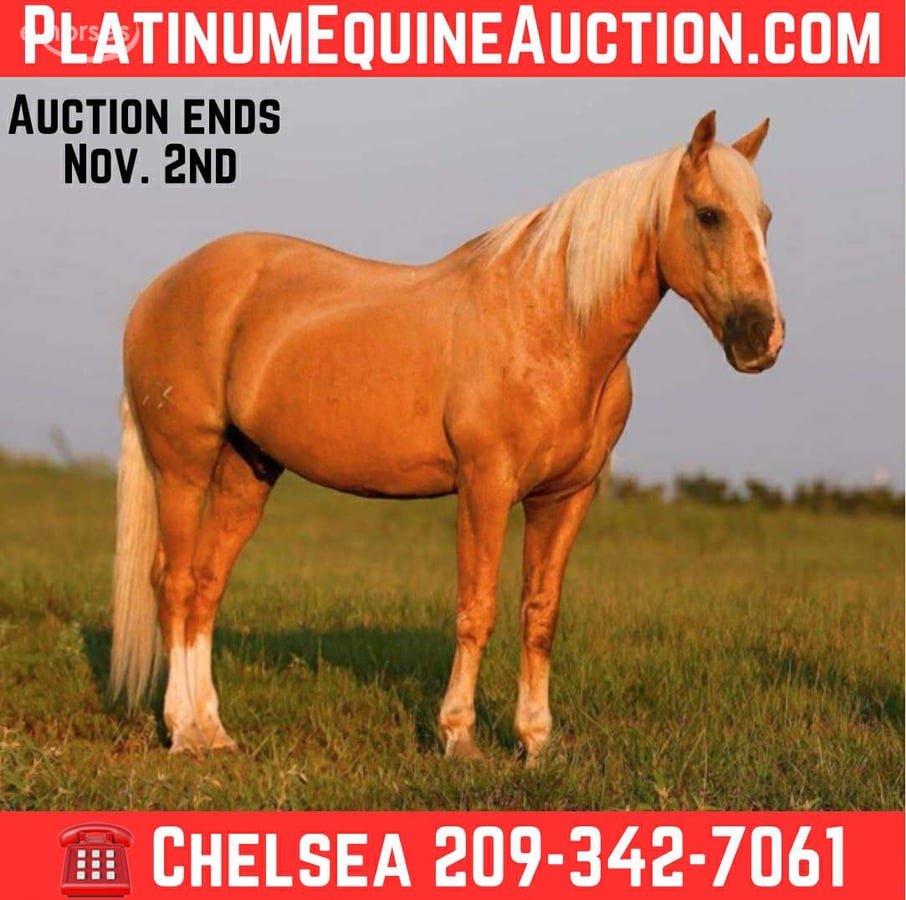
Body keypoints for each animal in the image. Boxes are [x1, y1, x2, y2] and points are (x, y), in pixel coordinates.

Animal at [110, 110, 784, 760]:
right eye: (709, 215)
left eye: (766, 218)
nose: (763, 339)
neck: (554, 325)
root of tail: (157, 289)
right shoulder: (485, 487)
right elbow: (477, 608)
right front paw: (460, 736)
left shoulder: (565, 497)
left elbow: (540, 614)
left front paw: (536, 742)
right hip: (183, 464)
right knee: (174, 583)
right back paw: (183, 733)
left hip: (246, 470)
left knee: (205, 585)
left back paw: (213, 731)